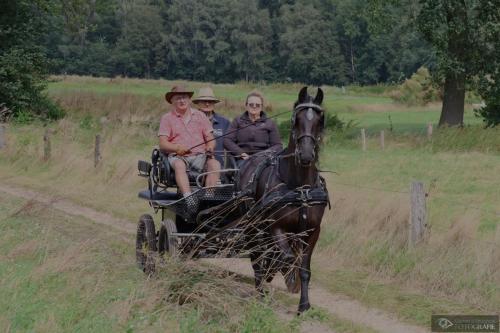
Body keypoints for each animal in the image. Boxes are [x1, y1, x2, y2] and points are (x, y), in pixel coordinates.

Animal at [237, 86, 330, 314]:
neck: (301, 188)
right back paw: (261, 290)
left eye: (320, 119)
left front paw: (304, 305)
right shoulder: (276, 227)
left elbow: (304, 268)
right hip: (252, 226)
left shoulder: (312, 231)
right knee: (257, 256)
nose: (306, 155)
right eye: (296, 119)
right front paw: (281, 275)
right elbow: (285, 258)